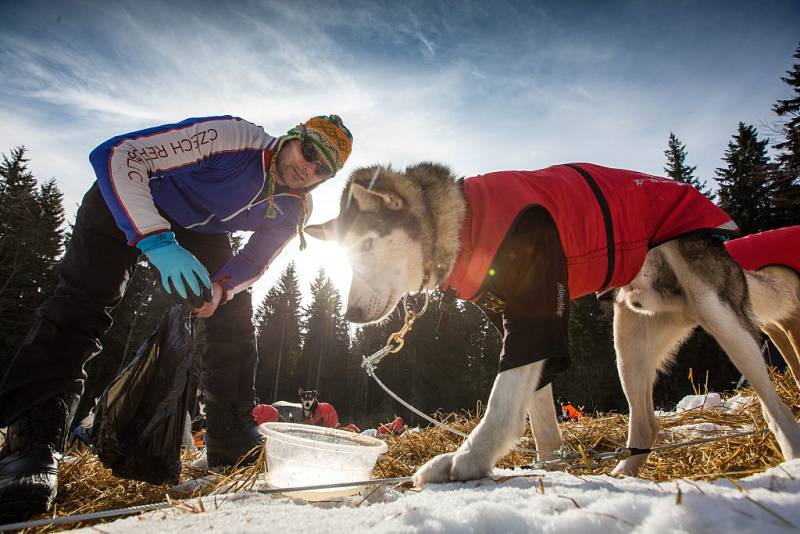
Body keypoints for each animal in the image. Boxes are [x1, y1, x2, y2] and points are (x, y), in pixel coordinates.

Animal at [304, 163, 800, 486]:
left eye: (367, 245)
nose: (351, 316)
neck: (467, 223)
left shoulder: (535, 314)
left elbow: (502, 403)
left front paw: (469, 458)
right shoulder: (519, 331)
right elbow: (540, 419)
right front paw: (548, 468)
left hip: (720, 315)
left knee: (776, 409)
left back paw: (789, 457)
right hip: (629, 341)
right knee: (646, 425)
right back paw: (625, 473)